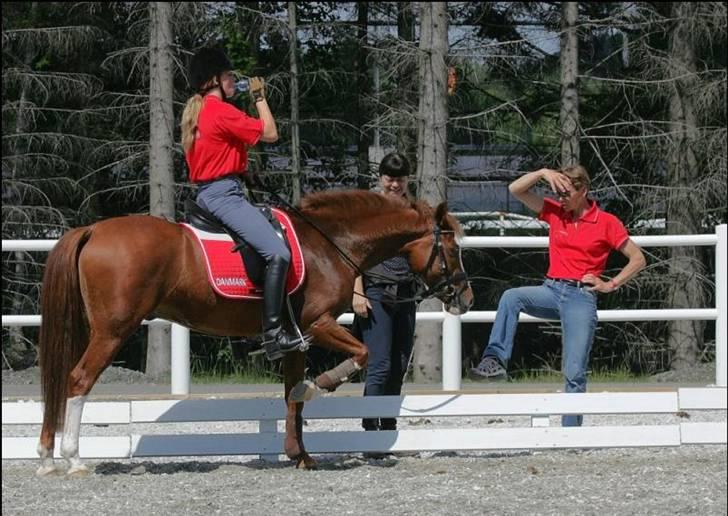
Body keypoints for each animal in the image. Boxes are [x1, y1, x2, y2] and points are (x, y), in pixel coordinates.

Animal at [37, 189, 474, 476]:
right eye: (453, 250)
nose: (465, 298)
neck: (329, 243)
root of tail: (93, 230)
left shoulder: (297, 338)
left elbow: (292, 397)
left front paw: (300, 455)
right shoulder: (318, 324)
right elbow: (359, 355)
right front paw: (321, 385)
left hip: (91, 329)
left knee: (60, 382)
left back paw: (46, 458)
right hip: (112, 331)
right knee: (77, 380)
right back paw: (73, 459)